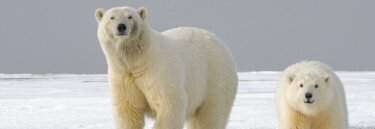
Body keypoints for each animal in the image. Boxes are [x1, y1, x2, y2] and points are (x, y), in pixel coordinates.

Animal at [95, 6, 239, 129]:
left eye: (130, 16)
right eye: (112, 17)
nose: (121, 26)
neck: (139, 61)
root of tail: (220, 42)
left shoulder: (159, 72)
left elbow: (170, 105)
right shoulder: (123, 75)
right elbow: (129, 110)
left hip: (215, 78)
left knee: (211, 115)